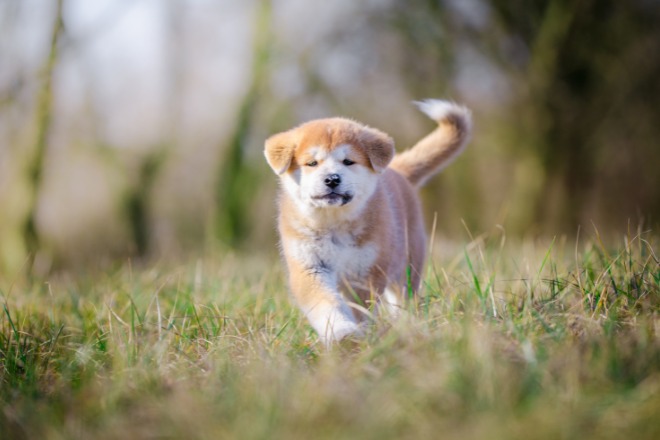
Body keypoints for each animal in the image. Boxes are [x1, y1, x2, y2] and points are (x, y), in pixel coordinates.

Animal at [262, 99, 470, 344]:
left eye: (348, 161)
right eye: (312, 163)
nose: (332, 179)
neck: (334, 223)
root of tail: (398, 171)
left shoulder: (367, 271)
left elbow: (360, 309)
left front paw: (359, 335)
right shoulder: (310, 266)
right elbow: (327, 304)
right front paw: (342, 332)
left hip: (407, 264)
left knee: (403, 300)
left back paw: (405, 326)